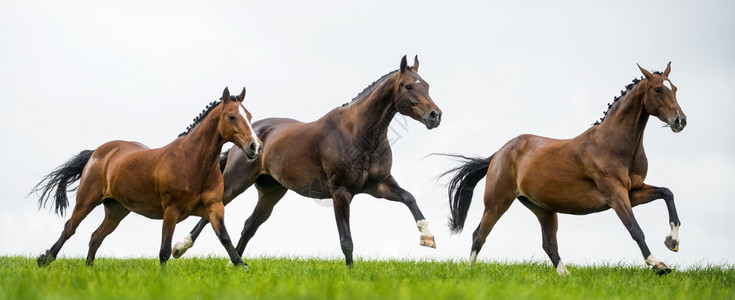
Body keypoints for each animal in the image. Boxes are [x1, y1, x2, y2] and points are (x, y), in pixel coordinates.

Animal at [30, 86, 262, 268]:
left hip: (116, 210)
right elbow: (164, 251)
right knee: (70, 228)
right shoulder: (171, 210)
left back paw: (88, 269)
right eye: (231, 116)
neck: (192, 162)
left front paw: (241, 266)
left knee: (95, 237)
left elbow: (224, 237)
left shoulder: (215, 207)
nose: (255, 147)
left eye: (250, 116)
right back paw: (45, 259)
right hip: (86, 200)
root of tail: (97, 152)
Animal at [171, 55, 442, 266]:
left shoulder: (379, 185)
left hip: (271, 193)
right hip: (235, 183)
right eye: (408, 86)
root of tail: (251, 138)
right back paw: (180, 247)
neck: (358, 133)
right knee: (213, 213)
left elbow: (409, 198)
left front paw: (427, 237)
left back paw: (234, 263)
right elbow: (346, 240)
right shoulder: (341, 191)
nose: (435, 115)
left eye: (427, 85)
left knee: (249, 225)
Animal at [442, 63, 688, 276]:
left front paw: (672, 242)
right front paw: (658, 264)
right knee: (479, 234)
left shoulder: (633, 192)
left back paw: (567, 276)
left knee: (549, 244)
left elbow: (667, 193)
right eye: (658, 89)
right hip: (497, 202)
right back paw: (470, 273)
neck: (614, 144)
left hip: (543, 209)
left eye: (675, 88)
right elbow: (635, 229)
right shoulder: (616, 195)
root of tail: (499, 153)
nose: (680, 121)